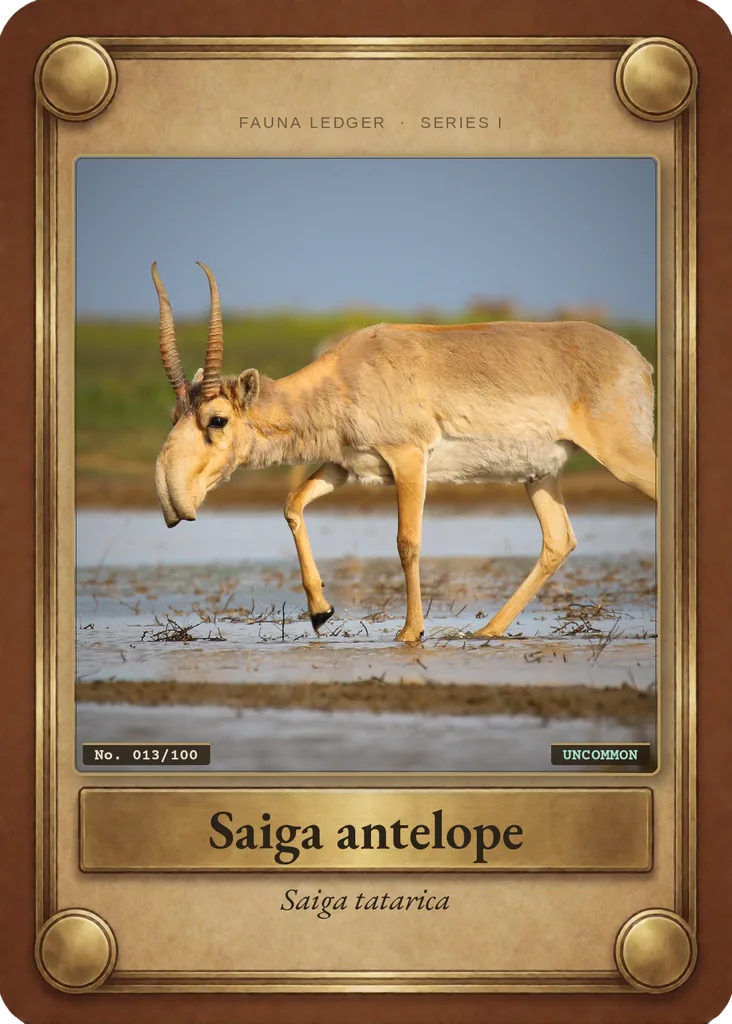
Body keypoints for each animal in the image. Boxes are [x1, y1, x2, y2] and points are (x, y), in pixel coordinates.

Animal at [152, 263, 657, 644]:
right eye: (175, 412)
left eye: (217, 419)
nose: (172, 500)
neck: (347, 373)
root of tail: (637, 359)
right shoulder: (344, 465)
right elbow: (292, 504)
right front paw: (320, 611)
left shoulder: (409, 459)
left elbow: (406, 542)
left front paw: (410, 632)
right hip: (539, 475)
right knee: (558, 540)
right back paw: (487, 631)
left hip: (623, 457)